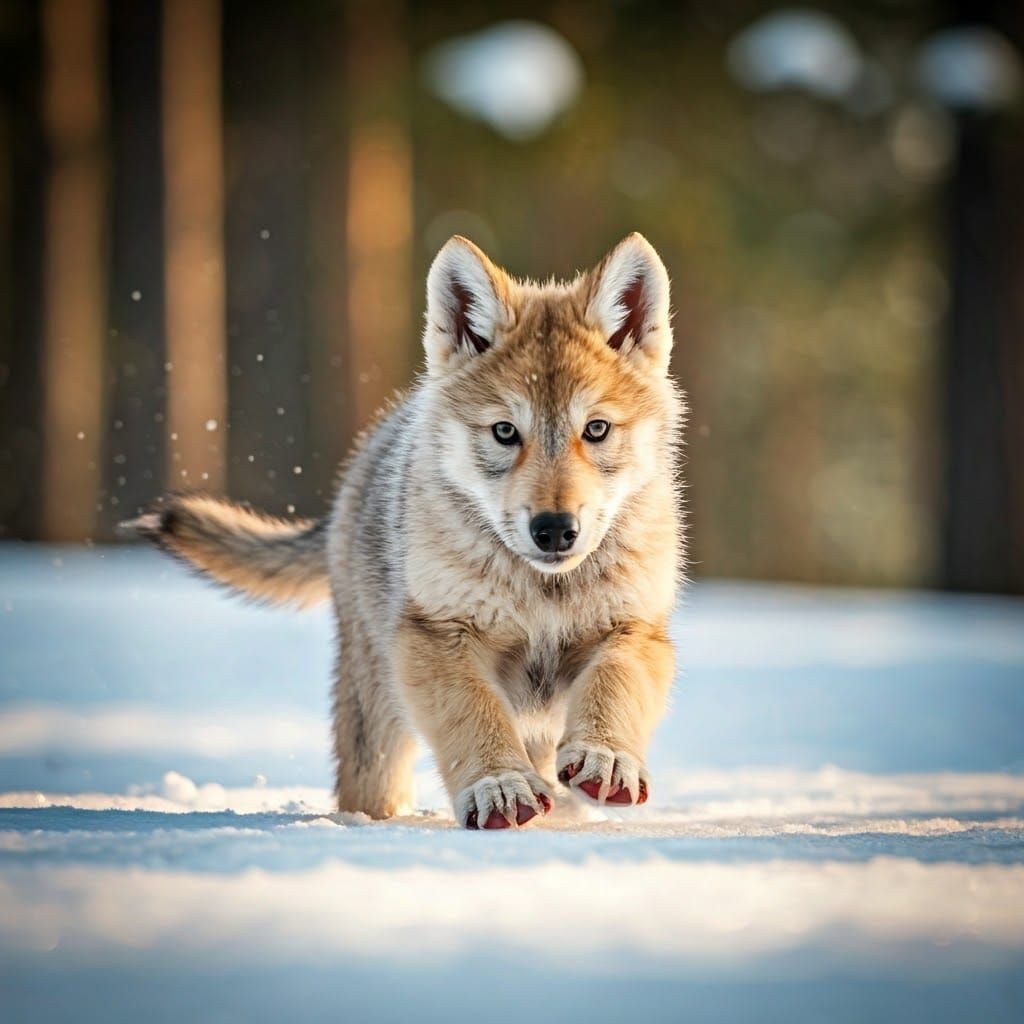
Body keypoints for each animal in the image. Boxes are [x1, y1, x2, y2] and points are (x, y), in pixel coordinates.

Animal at [129, 233, 684, 829]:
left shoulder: (633, 626)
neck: (543, 590)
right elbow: (475, 715)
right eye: (505, 432)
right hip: (375, 711)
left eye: (597, 429)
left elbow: (615, 684)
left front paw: (606, 759)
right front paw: (499, 786)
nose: (555, 529)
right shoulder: (437, 635)